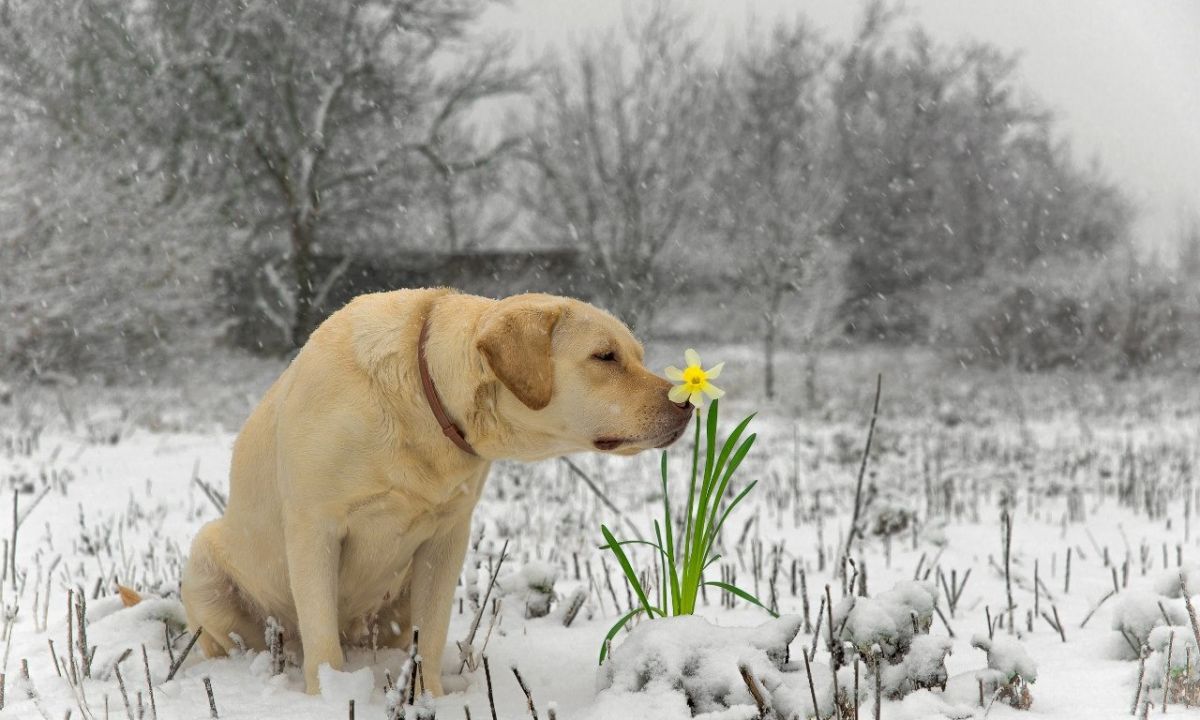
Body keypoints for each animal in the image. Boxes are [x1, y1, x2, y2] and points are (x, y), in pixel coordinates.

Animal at [176, 289, 686, 696]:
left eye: (636, 355)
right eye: (605, 357)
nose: (684, 403)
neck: (423, 401)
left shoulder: (447, 537)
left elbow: (433, 631)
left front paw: (429, 697)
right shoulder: (313, 528)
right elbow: (321, 637)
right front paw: (329, 698)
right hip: (204, 560)